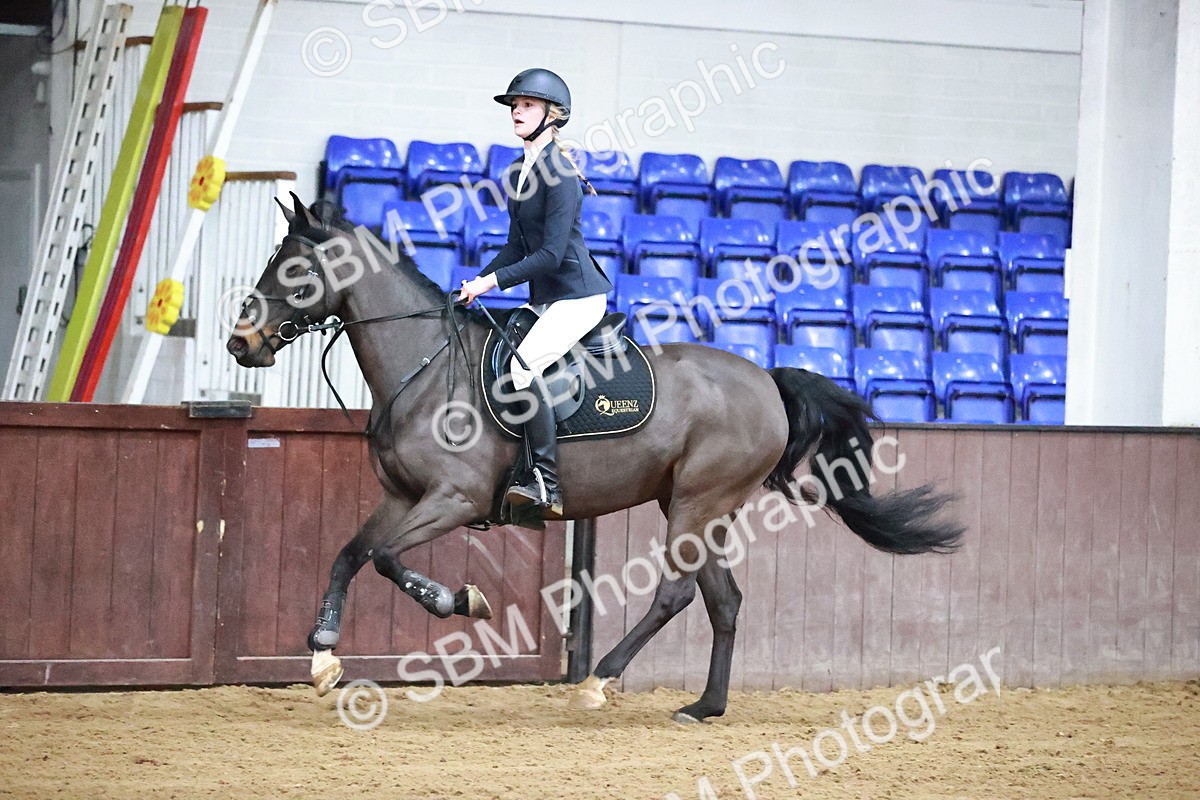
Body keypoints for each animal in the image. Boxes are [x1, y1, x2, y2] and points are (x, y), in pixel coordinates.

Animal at [226, 195, 962, 723]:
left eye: (295, 270)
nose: (240, 343)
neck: (427, 370)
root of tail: (767, 380)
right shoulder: (402, 498)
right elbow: (350, 555)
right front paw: (323, 658)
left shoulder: (452, 500)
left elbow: (384, 559)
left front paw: (461, 601)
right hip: (701, 507)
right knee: (724, 599)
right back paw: (704, 707)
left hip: (695, 505)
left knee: (676, 592)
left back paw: (600, 680)